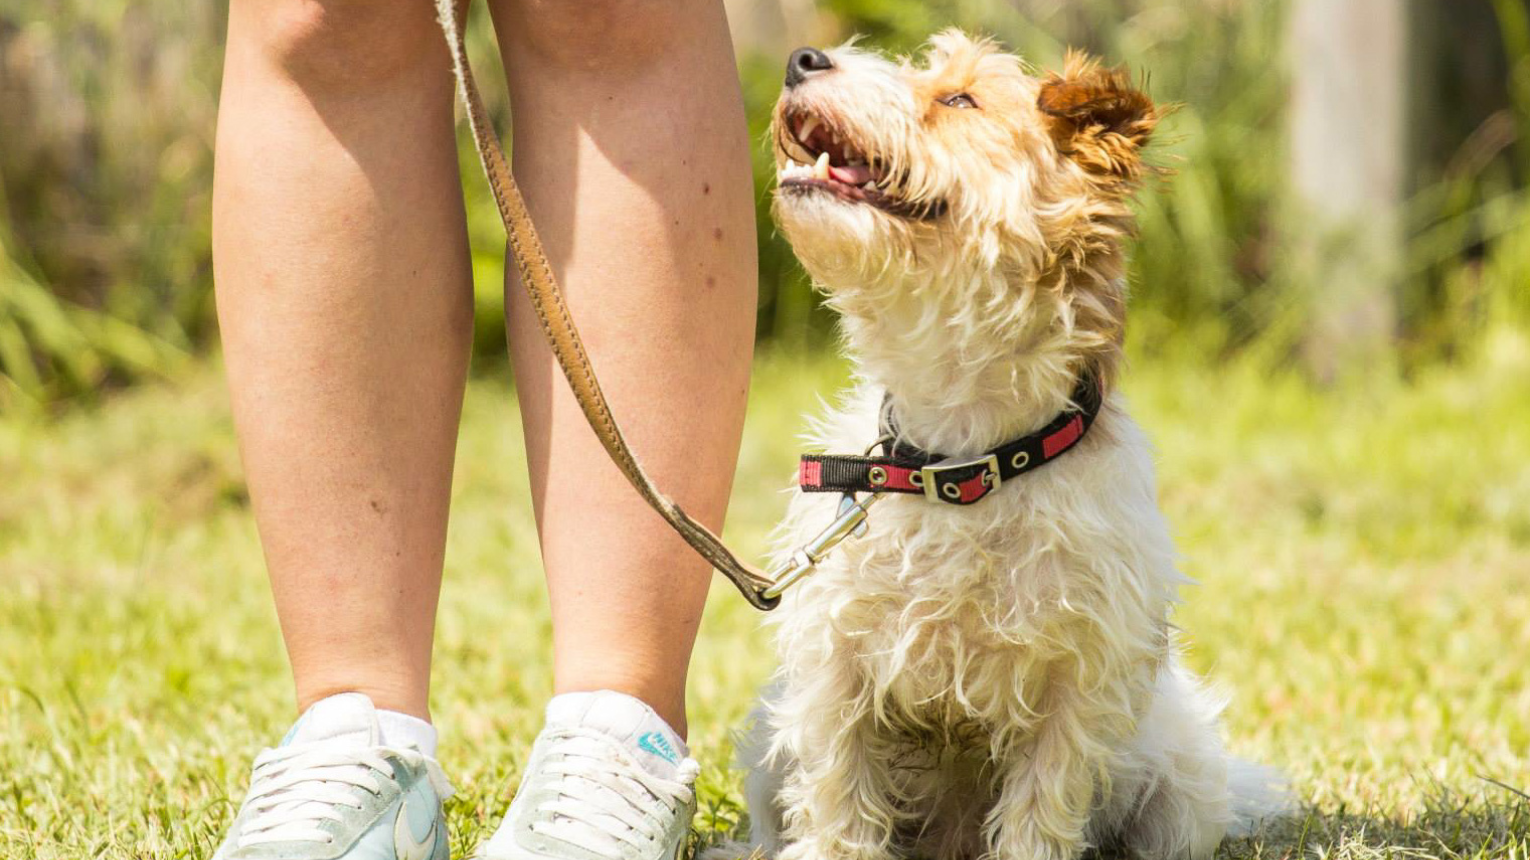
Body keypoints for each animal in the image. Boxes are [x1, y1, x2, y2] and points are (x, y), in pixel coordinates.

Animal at [721, 32, 1285, 860]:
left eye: (960, 100)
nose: (801, 60)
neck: (960, 461)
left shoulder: (1076, 687)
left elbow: (1039, 811)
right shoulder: (836, 672)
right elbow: (839, 805)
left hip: (1180, 790)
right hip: (768, 740)